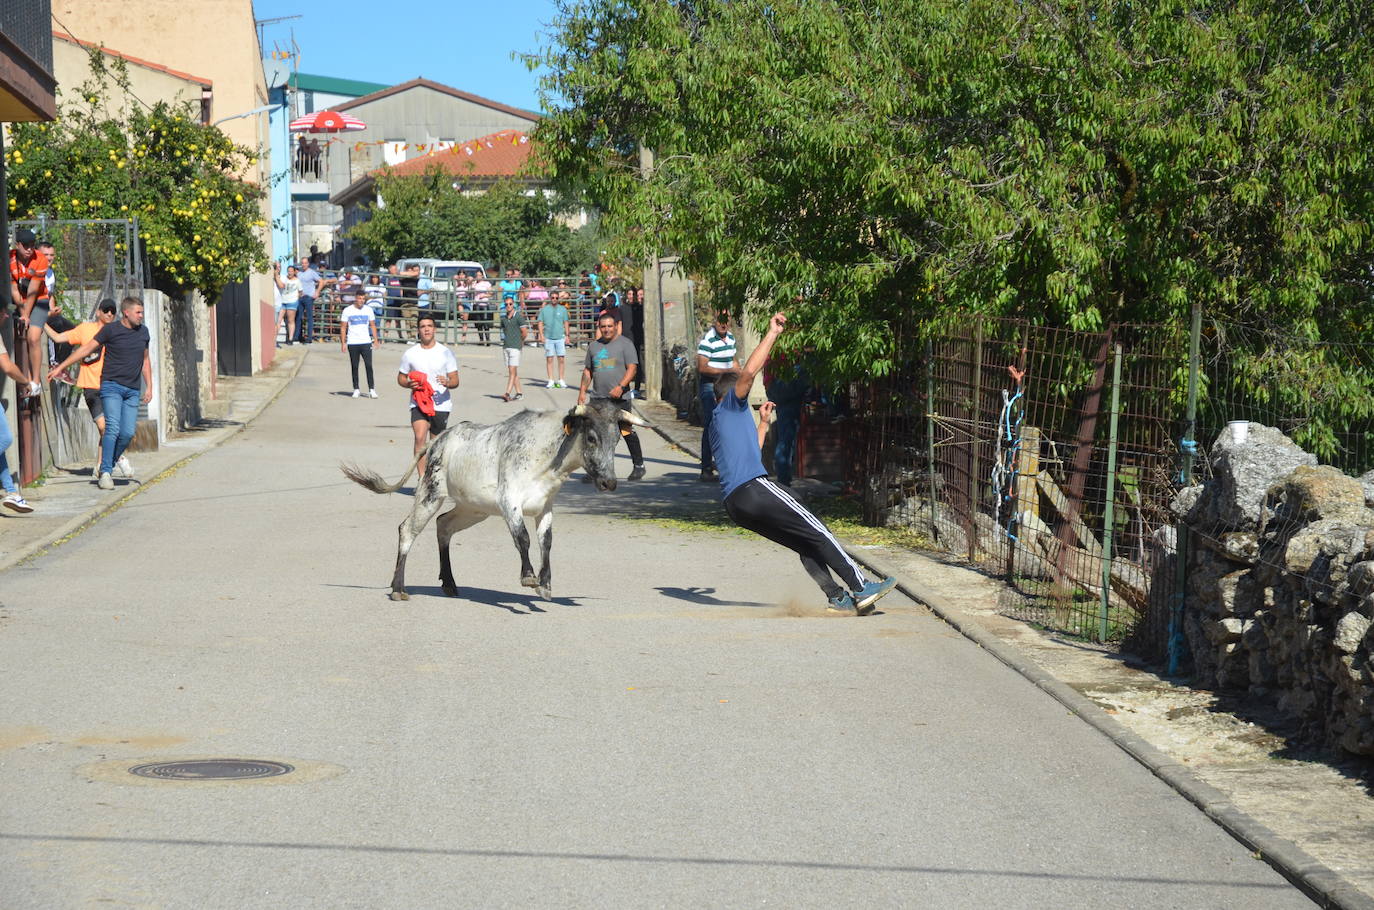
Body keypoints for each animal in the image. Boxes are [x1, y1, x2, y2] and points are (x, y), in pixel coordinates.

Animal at [340, 401, 645, 602]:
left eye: (617, 440)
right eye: (591, 437)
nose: (609, 483)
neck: (548, 456)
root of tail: (440, 439)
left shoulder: (545, 507)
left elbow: (546, 542)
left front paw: (545, 585)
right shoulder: (510, 502)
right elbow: (523, 538)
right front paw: (529, 577)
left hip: (474, 508)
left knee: (444, 526)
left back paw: (449, 584)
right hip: (431, 492)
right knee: (407, 529)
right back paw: (399, 589)